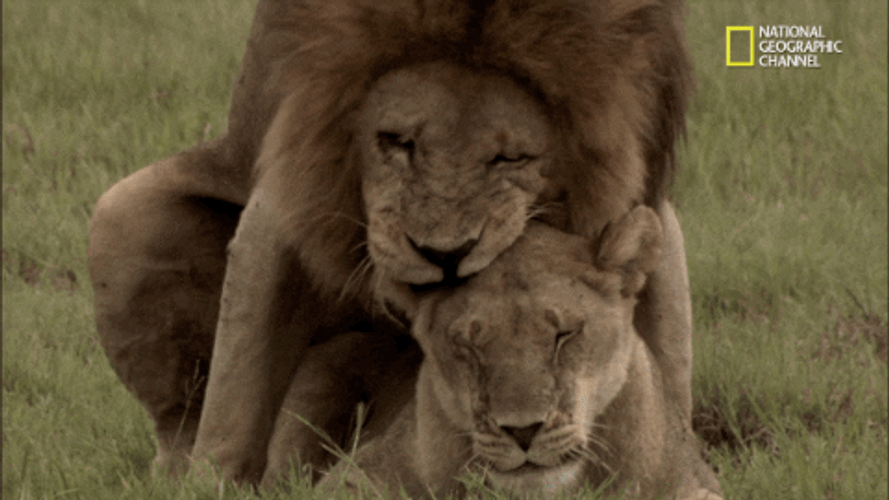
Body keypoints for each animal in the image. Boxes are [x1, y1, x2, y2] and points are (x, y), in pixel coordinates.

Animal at [87, 0, 694, 484]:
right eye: (397, 143)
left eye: (510, 158)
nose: (445, 256)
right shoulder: (286, 187)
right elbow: (238, 388)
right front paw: (210, 482)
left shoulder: (638, 194)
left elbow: (660, 357)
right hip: (123, 218)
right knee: (184, 420)